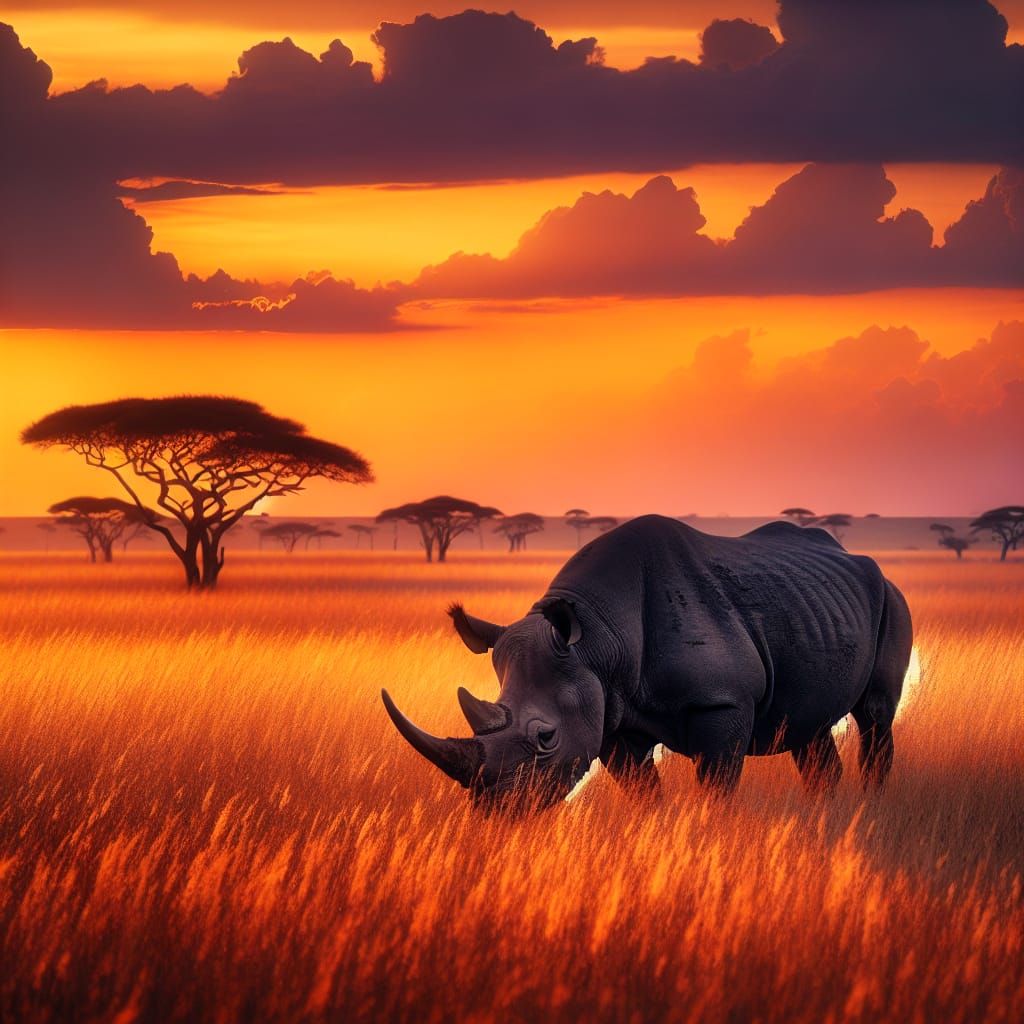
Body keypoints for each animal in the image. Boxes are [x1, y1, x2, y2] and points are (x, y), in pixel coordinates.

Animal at [382, 515, 912, 811]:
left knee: (875, 714)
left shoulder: (721, 701)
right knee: (808, 724)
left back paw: (870, 807)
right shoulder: (612, 716)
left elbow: (717, 786)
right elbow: (642, 793)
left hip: (891, 598)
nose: (496, 809)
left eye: (546, 737)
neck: (595, 639)